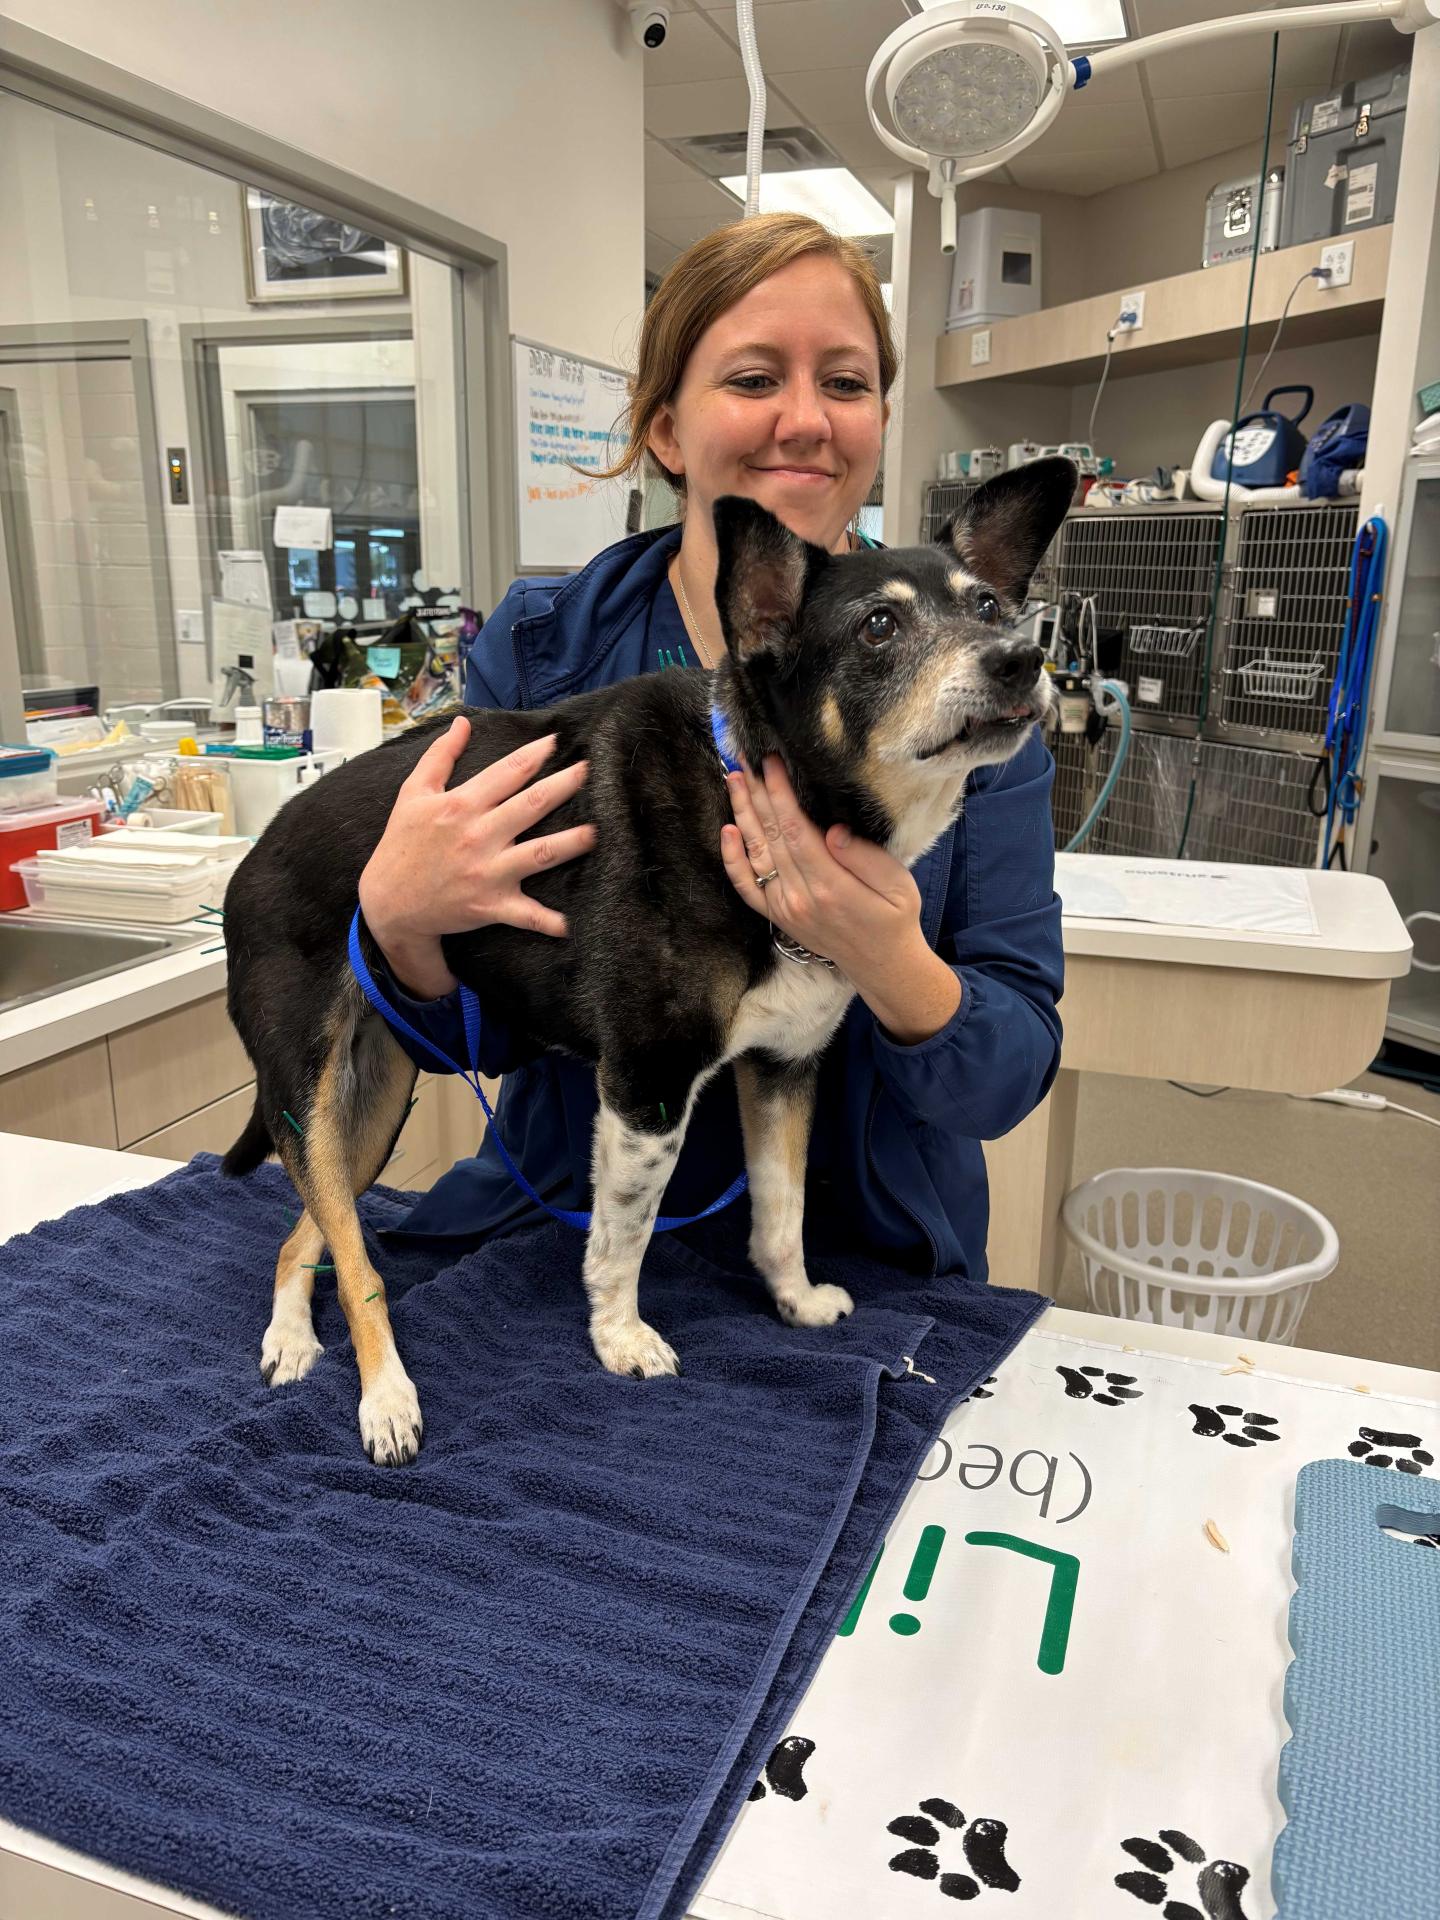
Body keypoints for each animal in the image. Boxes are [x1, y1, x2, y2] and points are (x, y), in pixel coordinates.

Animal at [225, 456, 1075, 1459]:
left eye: (988, 606)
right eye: (879, 626)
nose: (1020, 659)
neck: (751, 785)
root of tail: (254, 853)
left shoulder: (783, 1065)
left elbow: (781, 1212)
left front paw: (794, 1303)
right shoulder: (648, 1083)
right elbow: (623, 1235)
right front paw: (621, 1338)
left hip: (375, 1094)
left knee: (309, 1231)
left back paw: (291, 1340)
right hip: (310, 1089)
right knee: (357, 1261)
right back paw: (385, 1396)